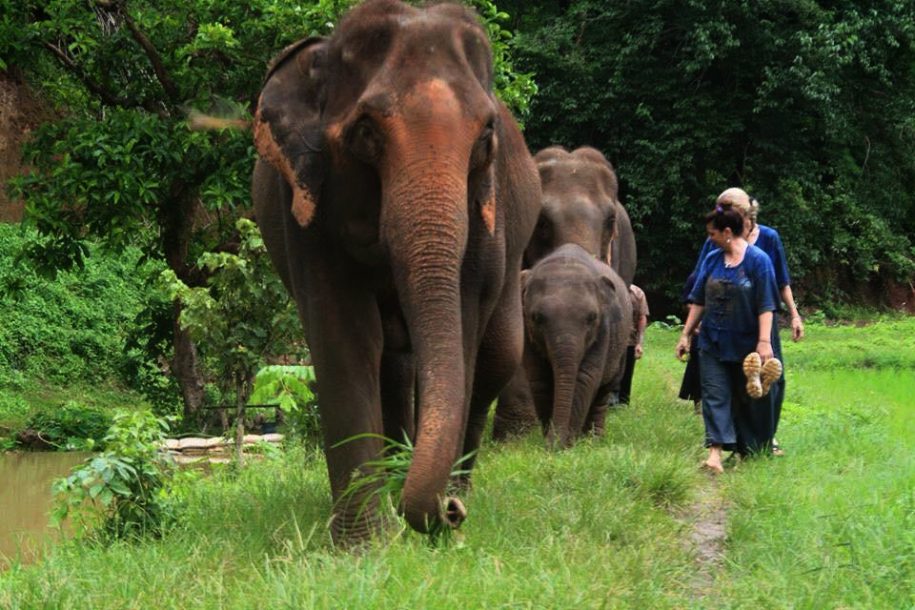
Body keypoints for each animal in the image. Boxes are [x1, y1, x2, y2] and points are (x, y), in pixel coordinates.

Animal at [250, 0, 540, 540]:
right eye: (366, 132)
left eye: (486, 136)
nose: (449, 513)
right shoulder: (303, 202)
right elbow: (344, 334)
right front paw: (365, 543)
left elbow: (462, 331)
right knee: (392, 357)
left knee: (496, 355)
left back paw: (452, 487)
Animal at [520, 242, 632, 446]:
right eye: (537, 318)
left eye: (592, 318)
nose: (554, 444)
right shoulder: (526, 329)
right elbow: (539, 379)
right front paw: (552, 440)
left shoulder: (603, 330)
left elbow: (586, 377)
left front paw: (566, 444)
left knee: (604, 390)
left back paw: (593, 439)